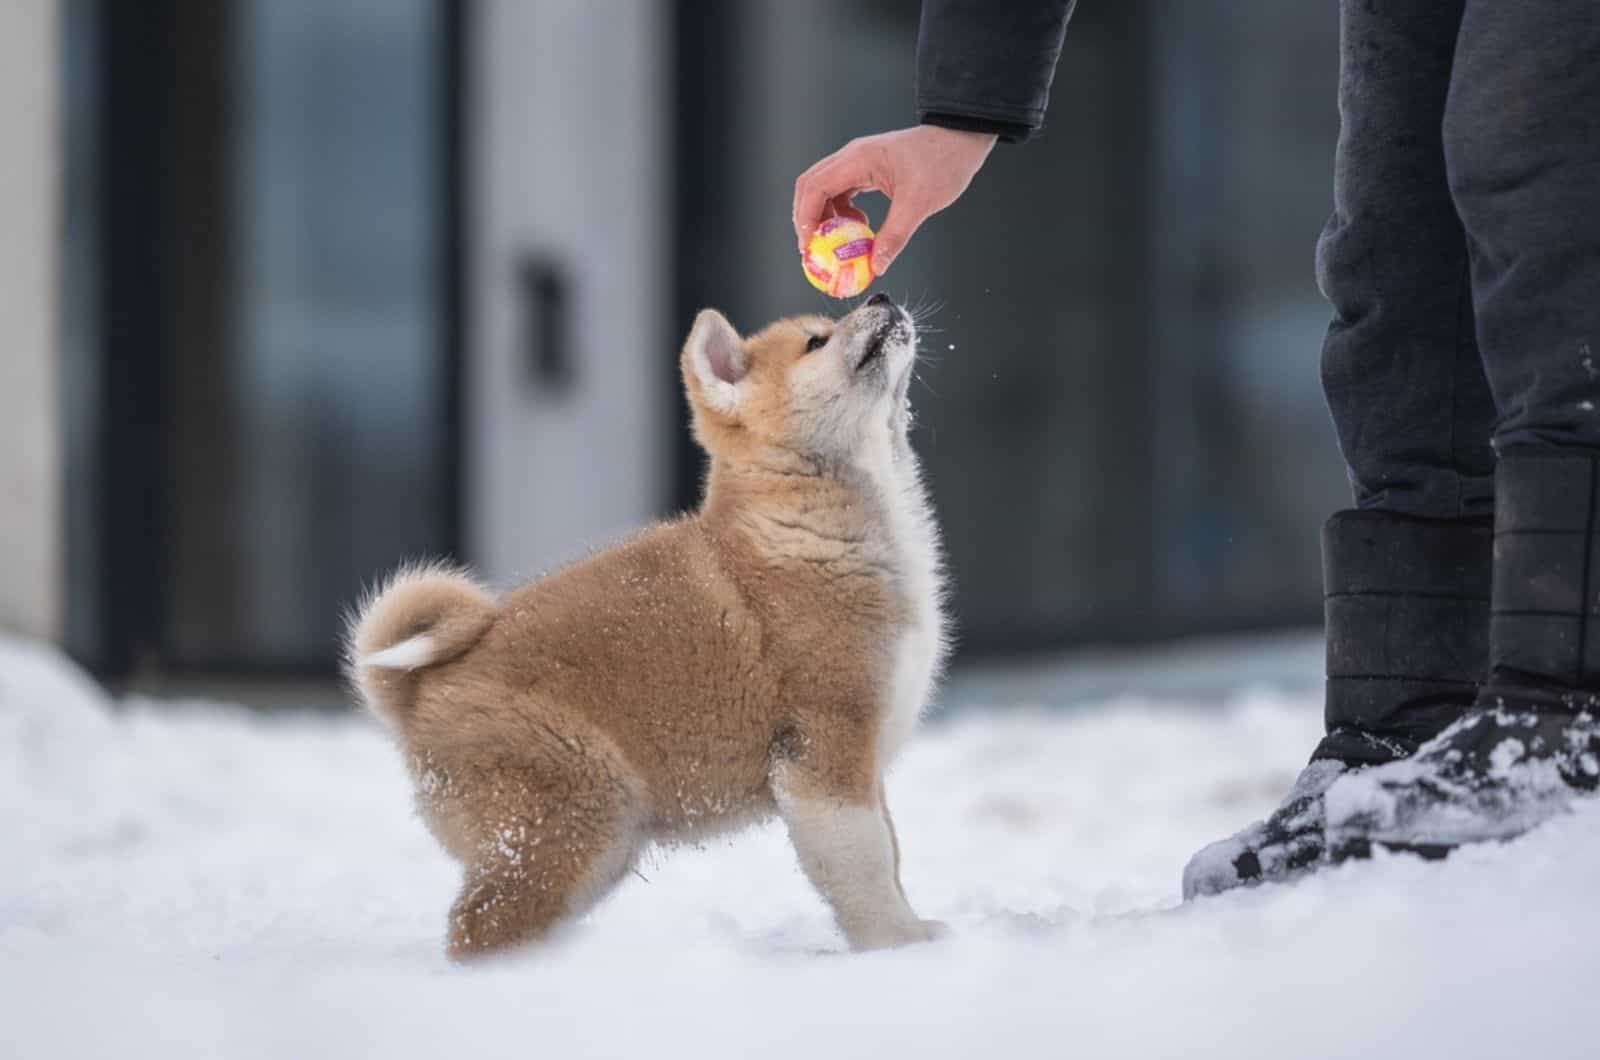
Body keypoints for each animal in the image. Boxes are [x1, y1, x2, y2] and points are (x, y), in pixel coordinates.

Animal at [347, 294, 947, 960]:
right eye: (816, 341)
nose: (880, 296)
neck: (803, 527)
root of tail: (416, 693)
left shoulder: (862, 765)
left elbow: (891, 852)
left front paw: (917, 934)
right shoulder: (826, 752)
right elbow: (865, 866)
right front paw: (898, 948)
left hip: (597, 841)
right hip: (573, 814)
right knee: (476, 929)